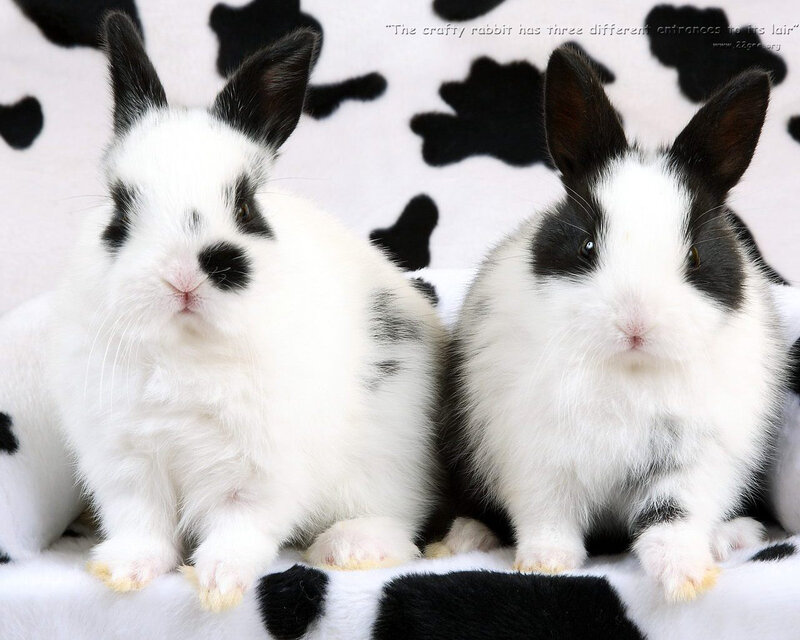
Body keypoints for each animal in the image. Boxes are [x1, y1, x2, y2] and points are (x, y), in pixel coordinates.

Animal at [48, 13, 445, 612]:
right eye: (120, 208)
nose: (184, 275)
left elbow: (240, 525)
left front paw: (218, 583)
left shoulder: (257, 470)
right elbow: (142, 523)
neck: (186, 351)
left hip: (389, 460)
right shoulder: (127, 463)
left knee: (400, 522)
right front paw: (124, 571)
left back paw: (350, 548)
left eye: (245, 205)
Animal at [433, 44, 787, 602]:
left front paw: (688, 578)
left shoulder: (692, 461)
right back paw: (466, 537)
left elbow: (673, 518)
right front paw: (544, 564)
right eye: (586, 246)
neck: (629, 368)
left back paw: (733, 536)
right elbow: (548, 516)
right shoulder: (536, 456)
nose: (635, 324)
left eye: (694, 257)